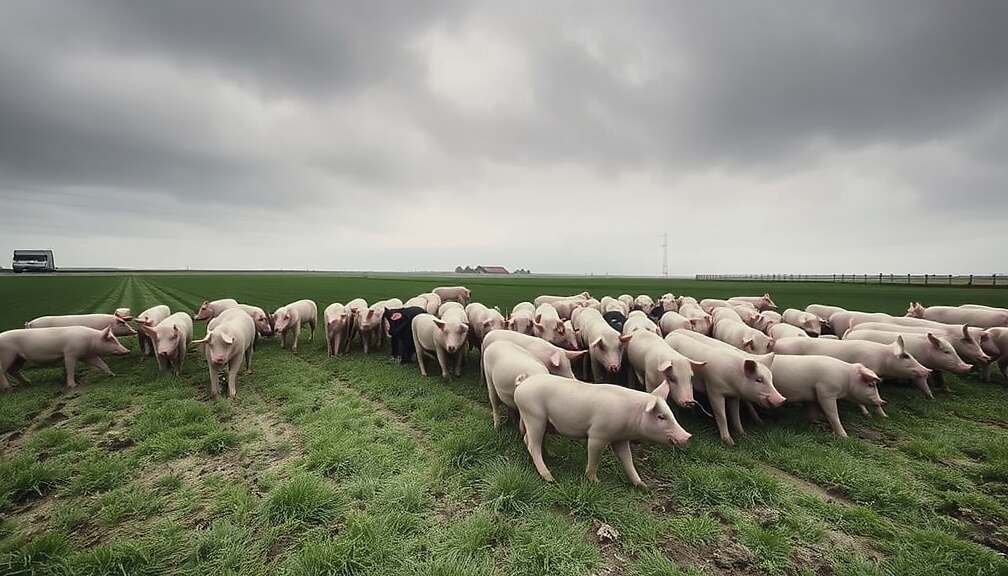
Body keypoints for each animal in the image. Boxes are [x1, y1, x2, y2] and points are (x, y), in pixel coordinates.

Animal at [0, 325, 129, 389]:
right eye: (111, 340)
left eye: (115, 339)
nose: (127, 351)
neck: (90, 341)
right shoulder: (70, 353)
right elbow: (70, 368)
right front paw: (73, 386)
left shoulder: (87, 355)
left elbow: (102, 364)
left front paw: (112, 375)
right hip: (7, 355)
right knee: (2, 371)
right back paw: (9, 388)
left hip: (19, 358)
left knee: (13, 371)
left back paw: (28, 383)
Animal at [514, 374, 690, 486]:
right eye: (661, 416)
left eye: (670, 413)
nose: (687, 436)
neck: (629, 421)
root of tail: (522, 384)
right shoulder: (598, 435)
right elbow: (594, 457)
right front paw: (595, 482)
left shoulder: (621, 439)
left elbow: (627, 459)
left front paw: (642, 486)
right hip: (534, 416)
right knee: (532, 444)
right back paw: (550, 478)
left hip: (538, 420)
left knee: (530, 440)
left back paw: (552, 455)